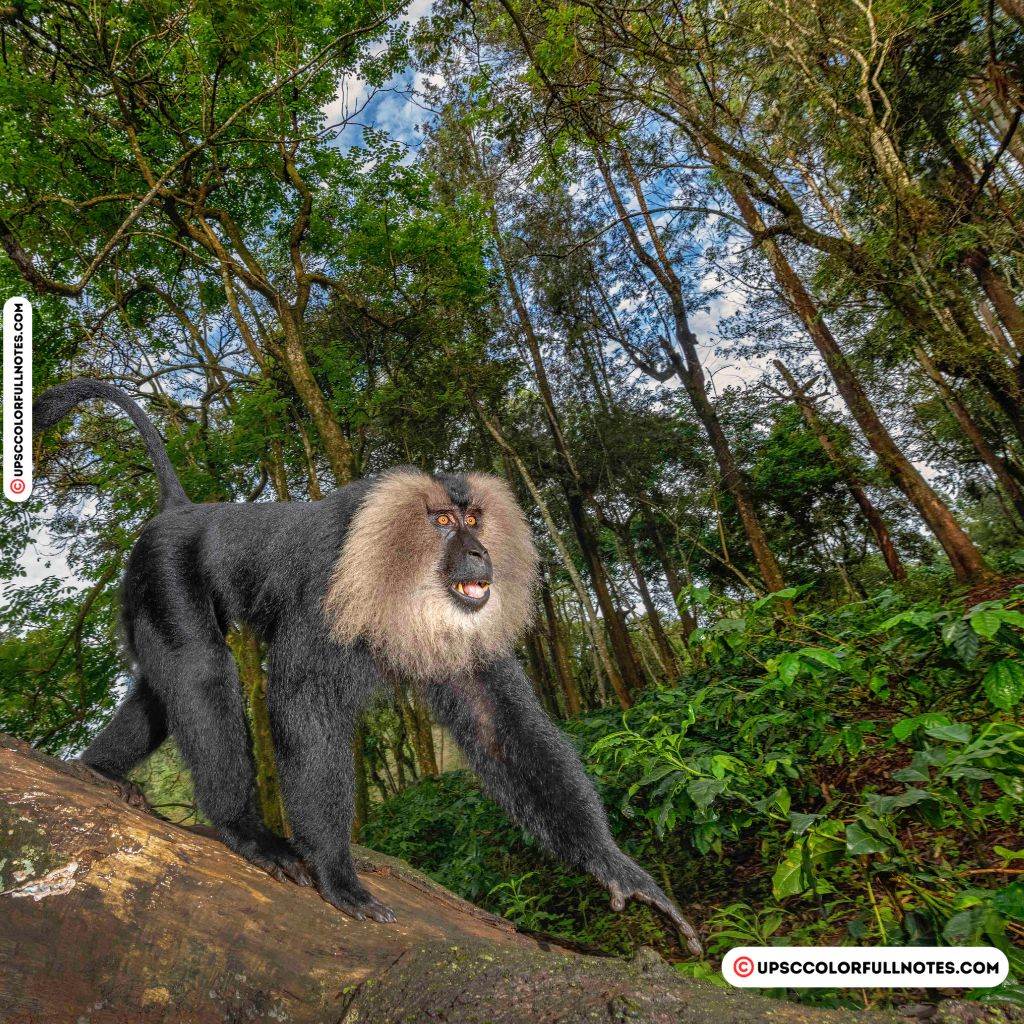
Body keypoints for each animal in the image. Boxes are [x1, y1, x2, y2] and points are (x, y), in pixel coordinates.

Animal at [32, 378, 702, 955]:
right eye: (442, 522)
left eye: (473, 519)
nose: (479, 554)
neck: (400, 571)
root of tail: (180, 513)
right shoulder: (327, 598)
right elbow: (301, 705)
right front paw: (335, 870)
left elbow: (497, 726)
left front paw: (614, 866)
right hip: (161, 576)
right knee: (202, 676)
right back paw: (242, 828)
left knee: (159, 693)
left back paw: (96, 771)